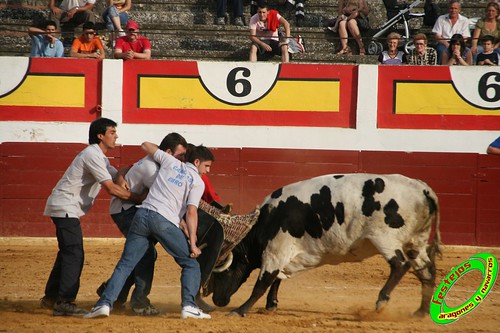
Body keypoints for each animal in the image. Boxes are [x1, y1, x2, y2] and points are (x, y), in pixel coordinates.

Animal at [209, 174, 440, 316]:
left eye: (224, 272)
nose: (218, 301)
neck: (271, 219)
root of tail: (423, 189)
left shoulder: (275, 252)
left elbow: (263, 282)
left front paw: (240, 310)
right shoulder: (284, 255)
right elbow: (277, 280)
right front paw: (271, 305)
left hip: (386, 239)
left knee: (400, 265)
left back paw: (382, 301)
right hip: (415, 243)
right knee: (426, 270)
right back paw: (421, 311)